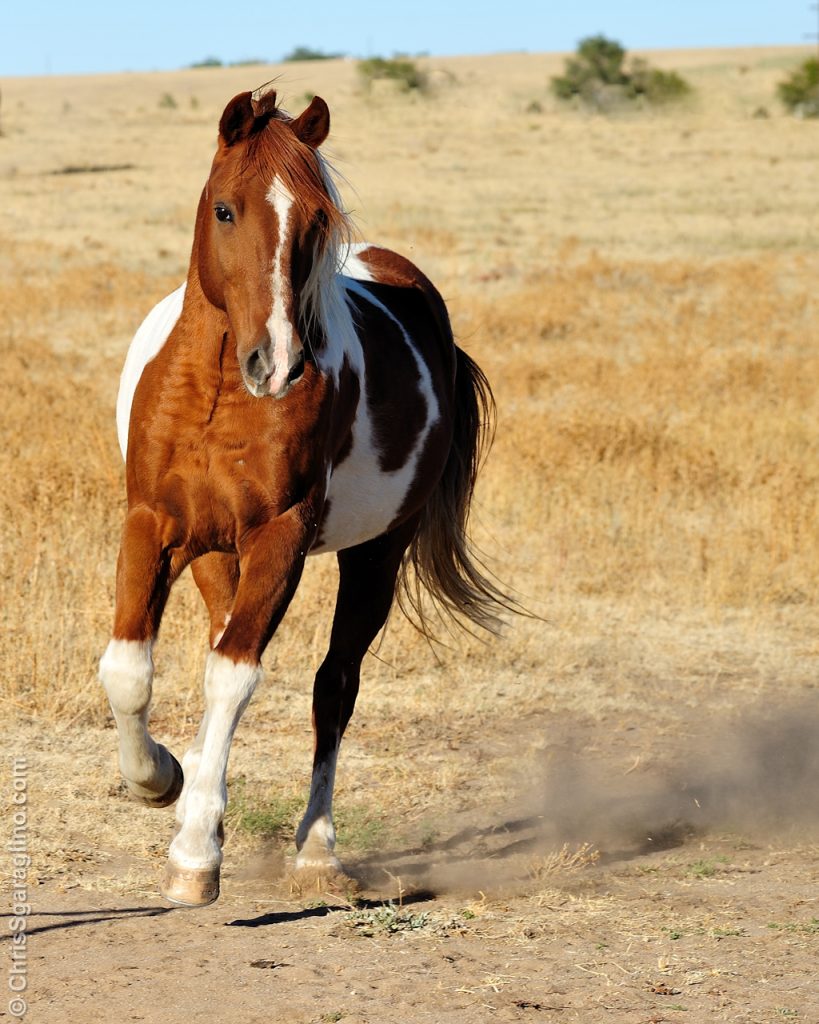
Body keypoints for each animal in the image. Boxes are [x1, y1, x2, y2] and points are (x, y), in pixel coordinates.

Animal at [99, 88, 508, 907]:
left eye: (316, 222)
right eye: (225, 209)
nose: (279, 364)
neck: (216, 395)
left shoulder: (280, 539)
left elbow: (235, 676)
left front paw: (195, 853)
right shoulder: (153, 525)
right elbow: (128, 670)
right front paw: (162, 781)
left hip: (375, 555)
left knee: (333, 686)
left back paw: (316, 849)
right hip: (212, 554)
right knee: (222, 644)